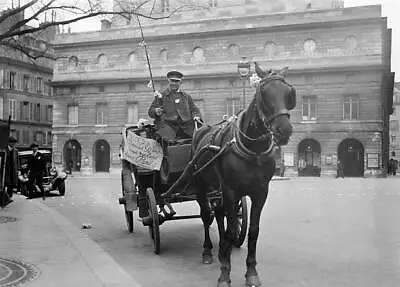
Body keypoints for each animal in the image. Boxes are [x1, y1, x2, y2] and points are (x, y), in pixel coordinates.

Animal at [192, 63, 296, 287]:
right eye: (264, 93)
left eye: (289, 93)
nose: (284, 130)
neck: (253, 149)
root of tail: (200, 130)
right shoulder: (231, 191)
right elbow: (232, 230)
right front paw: (225, 273)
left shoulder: (260, 192)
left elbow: (253, 231)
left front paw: (251, 271)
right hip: (200, 183)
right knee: (206, 215)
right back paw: (208, 251)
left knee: (219, 213)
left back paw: (222, 249)